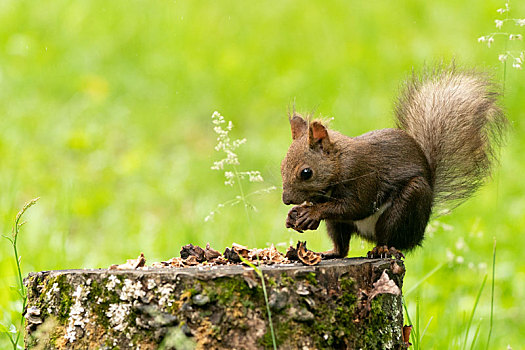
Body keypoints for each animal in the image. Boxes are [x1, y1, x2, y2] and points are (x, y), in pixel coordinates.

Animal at [280, 65, 506, 258]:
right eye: (282, 166)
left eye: (306, 173)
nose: (286, 200)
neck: (340, 162)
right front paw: (296, 214)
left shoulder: (363, 176)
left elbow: (356, 206)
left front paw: (312, 212)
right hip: (338, 225)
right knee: (341, 247)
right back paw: (327, 253)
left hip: (405, 206)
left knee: (389, 238)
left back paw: (382, 249)